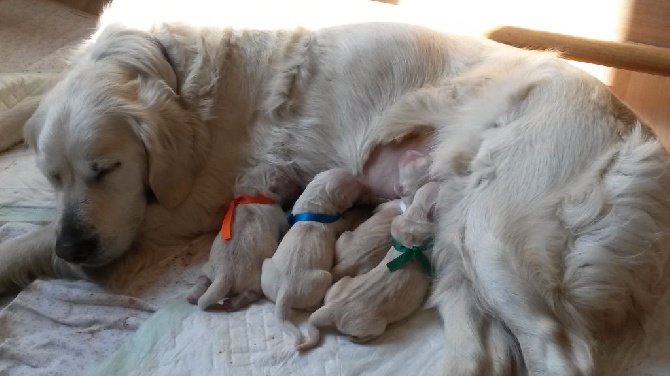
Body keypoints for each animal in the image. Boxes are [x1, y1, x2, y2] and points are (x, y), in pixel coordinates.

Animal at [185, 164, 298, 312]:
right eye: (287, 178)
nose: (300, 186)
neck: (253, 196)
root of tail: (224, 275)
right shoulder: (280, 217)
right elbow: (285, 225)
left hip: (207, 268)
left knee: (202, 280)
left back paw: (193, 296)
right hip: (256, 281)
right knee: (251, 293)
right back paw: (232, 303)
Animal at [262, 167, 368, 346]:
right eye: (354, 185)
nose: (363, 182)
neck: (313, 210)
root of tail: (285, 292)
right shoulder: (339, 222)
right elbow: (347, 218)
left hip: (267, 268)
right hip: (323, 277)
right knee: (309, 305)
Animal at [332, 150, 436, 282]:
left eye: (408, 164)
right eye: (426, 159)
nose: (408, 152)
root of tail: (346, 265)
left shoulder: (389, 204)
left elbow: (379, 207)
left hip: (343, 238)